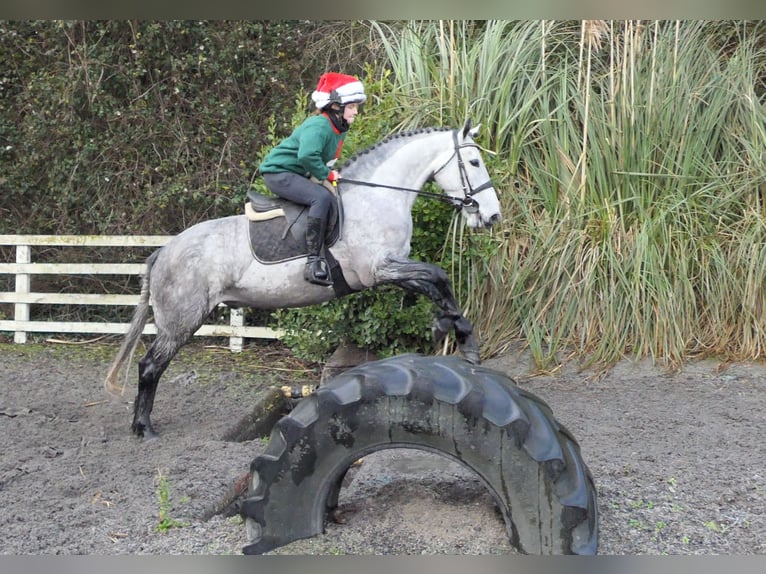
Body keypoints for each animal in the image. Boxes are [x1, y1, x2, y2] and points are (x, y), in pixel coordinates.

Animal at [104, 118, 502, 439]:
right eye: (474, 162)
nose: (492, 215)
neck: (378, 197)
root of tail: (163, 251)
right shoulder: (379, 268)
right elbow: (436, 275)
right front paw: (455, 331)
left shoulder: (389, 269)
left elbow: (435, 282)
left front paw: (456, 332)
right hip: (182, 320)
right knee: (150, 366)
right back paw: (143, 428)